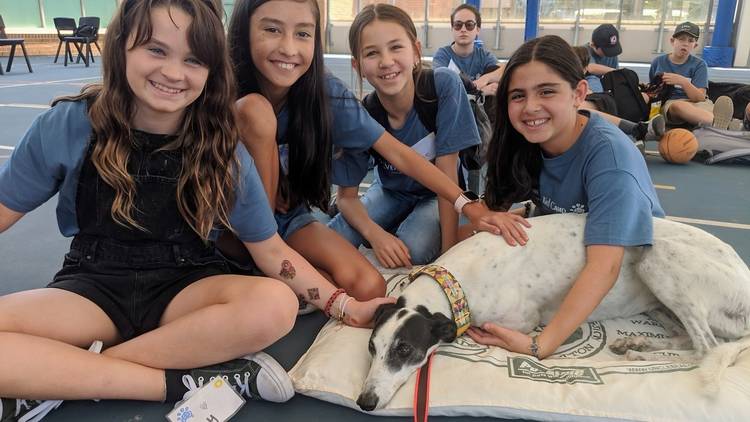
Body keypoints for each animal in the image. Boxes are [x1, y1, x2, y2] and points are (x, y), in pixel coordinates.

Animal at [356, 213, 750, 410]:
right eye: (372, 348)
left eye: (405, 349)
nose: (364, 401)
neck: (457, 281)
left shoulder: (520, 321)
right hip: (660, 301)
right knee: (688, 338)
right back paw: (638, 344)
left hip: (658, 259)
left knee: (707, 348)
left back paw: (641, 355)